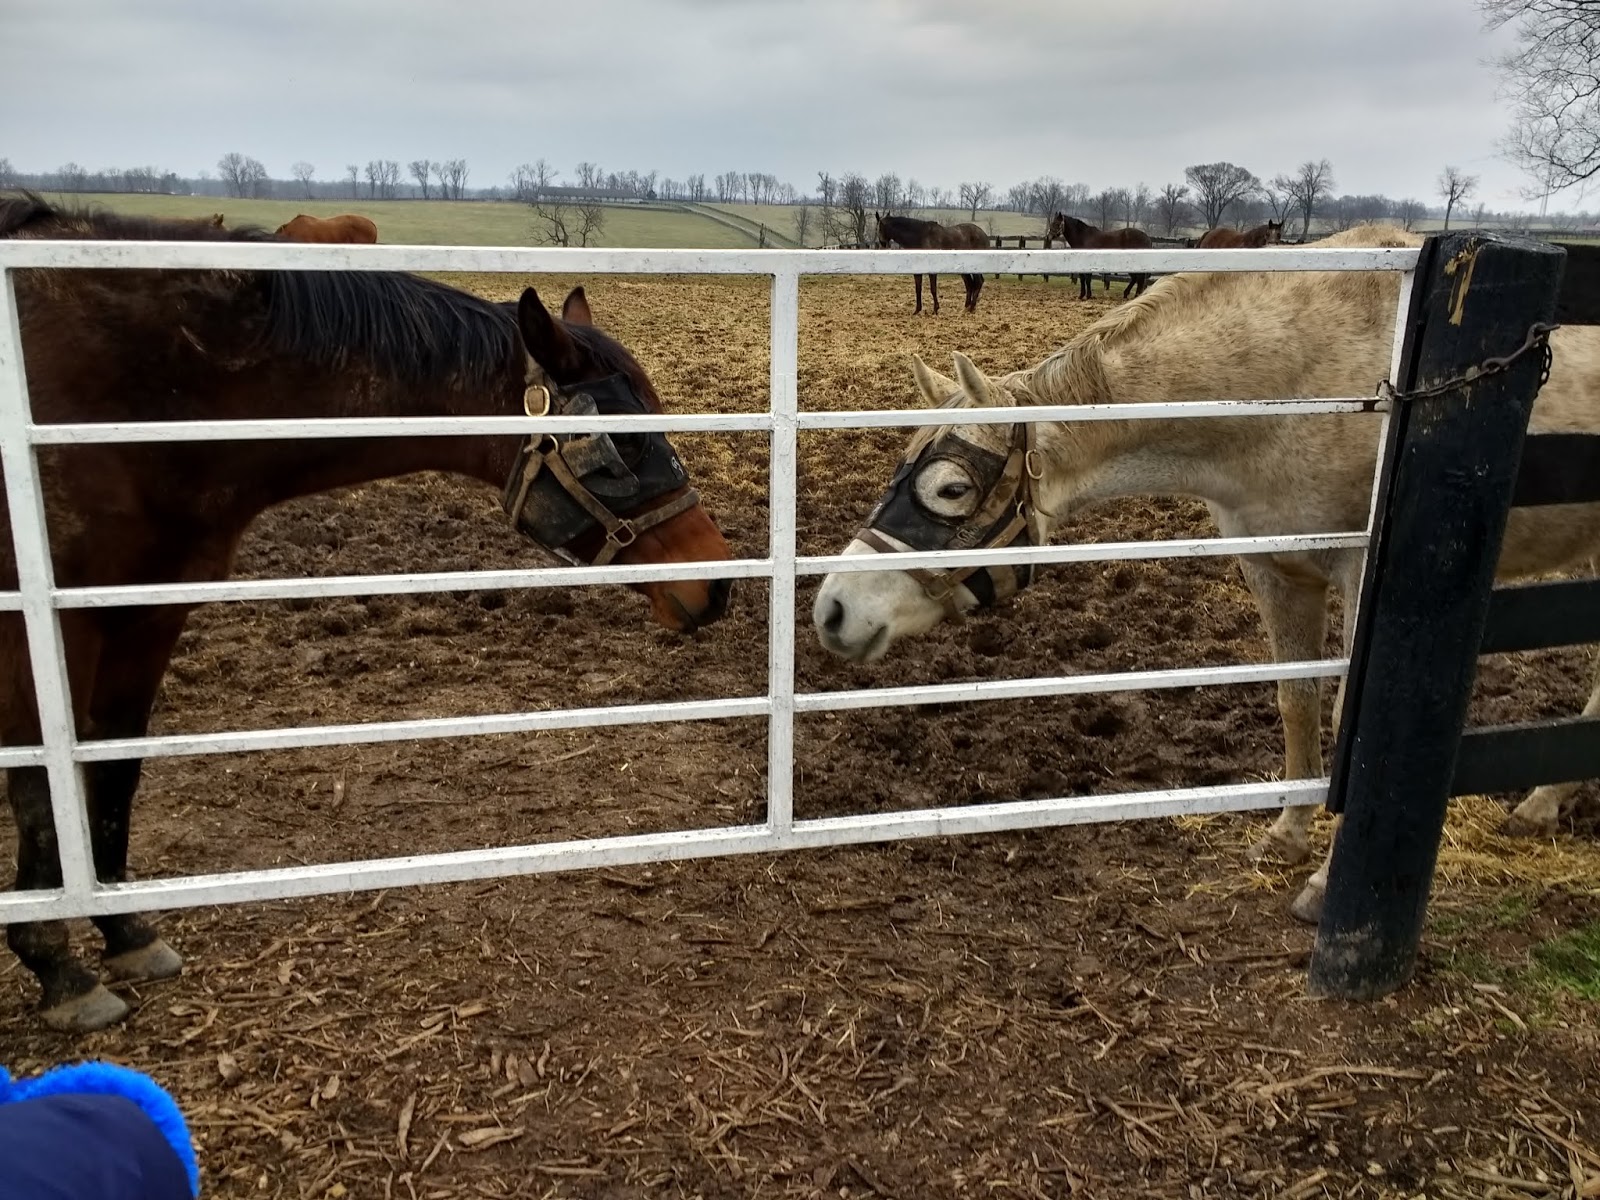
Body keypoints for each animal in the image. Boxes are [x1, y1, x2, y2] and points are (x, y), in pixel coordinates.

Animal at [0, 193, 735, 1031]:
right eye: (617, 444)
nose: (716, 582)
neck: (151, 387)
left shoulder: (149, 612)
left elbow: (115, 767)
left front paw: (124, 932)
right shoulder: (45, 625)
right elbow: (38, 788)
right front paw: (59, 970)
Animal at [812, 224, 1600, 929]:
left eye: (951, 489)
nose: (832, 609)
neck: (1304, 385)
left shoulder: (1363, 581)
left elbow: (1349, 722)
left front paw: (1322, 883)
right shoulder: (1274, 567)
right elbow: (1295, 700)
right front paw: (1285, 836)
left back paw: (1541, 801)